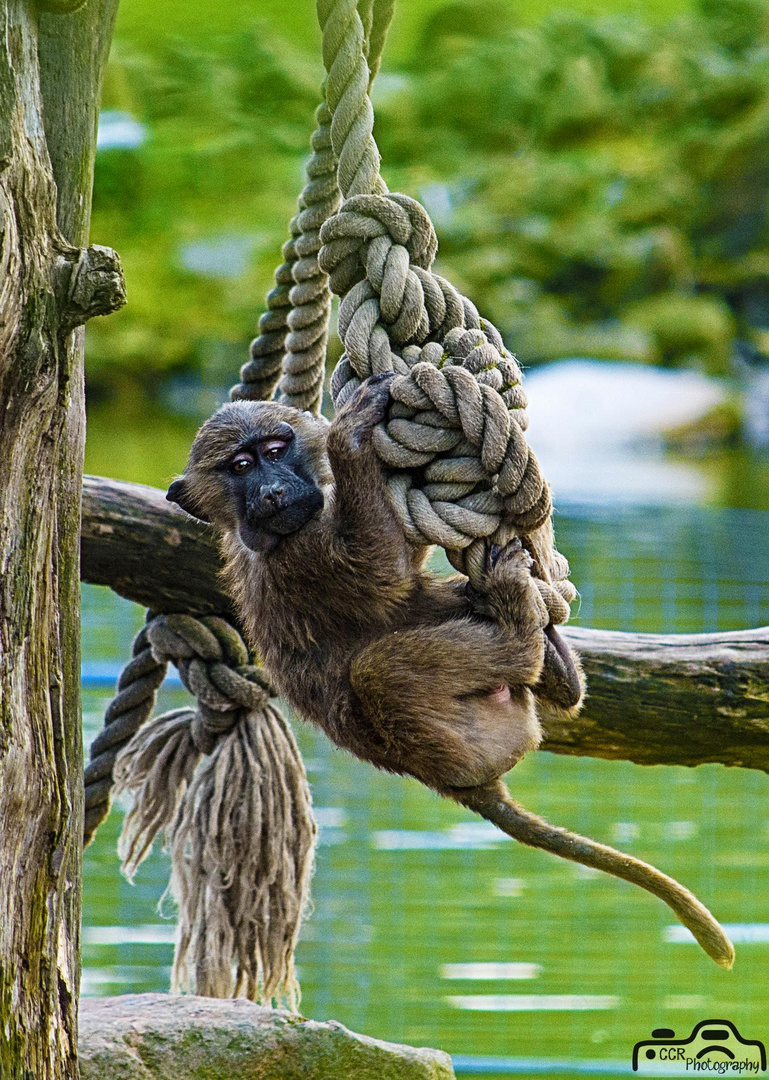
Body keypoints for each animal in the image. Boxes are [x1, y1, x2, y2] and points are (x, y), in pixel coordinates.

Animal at [168, 373, 734, 972]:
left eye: (274, 452)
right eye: (240, 467)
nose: (272, 493)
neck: (262, 535)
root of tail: (465, 784)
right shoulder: (303, 560)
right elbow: (383, 567)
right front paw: (348, 436)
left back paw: (551, 658)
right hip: (457, 740)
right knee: (380, 670)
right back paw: (520, 632)